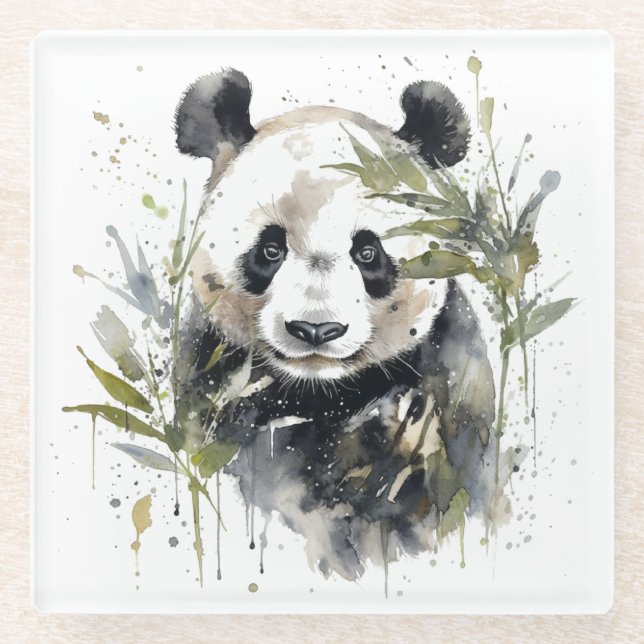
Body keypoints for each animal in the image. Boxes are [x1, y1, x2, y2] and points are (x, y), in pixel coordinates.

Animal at [174, 70, 495, 580]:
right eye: (270, 249)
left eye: (368, 252)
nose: (315, 331)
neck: (317, 392)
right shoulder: (212, 373)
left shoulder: (447, 385)